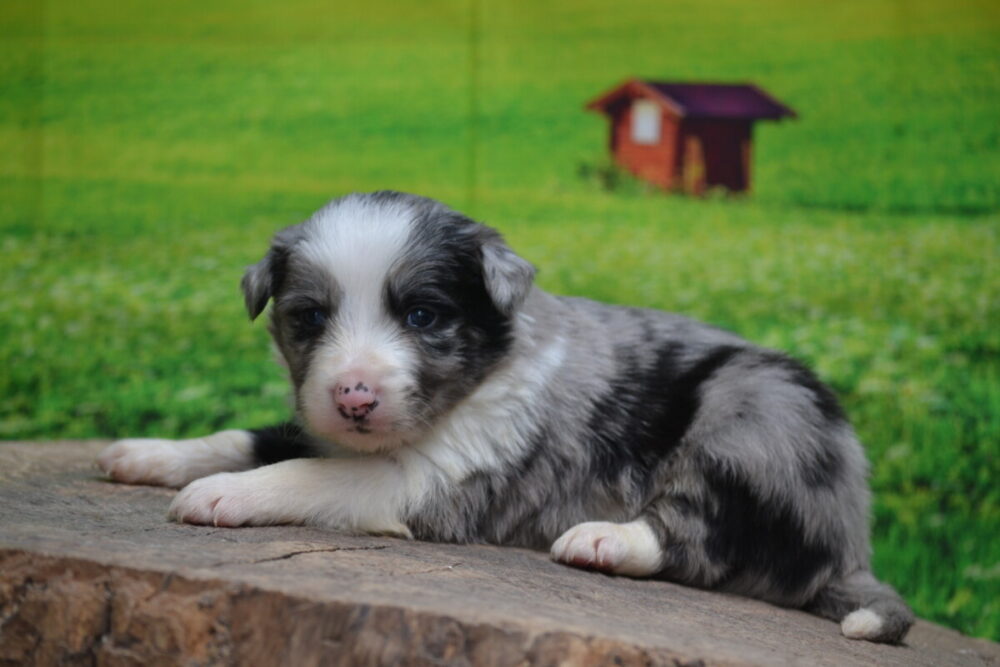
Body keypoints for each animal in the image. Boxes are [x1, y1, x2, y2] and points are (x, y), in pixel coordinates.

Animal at [98, 191, 913, 643]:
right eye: (311, 317)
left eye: (422, 315)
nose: (354, 397)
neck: (479, 377)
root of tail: (853, 541)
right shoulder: (321, 426)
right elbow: (251, 438)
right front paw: (145, 452)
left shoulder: (435, 480)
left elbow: (305, 472)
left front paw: (223, 494)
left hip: (757, 419)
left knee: (707, 540)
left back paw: (602, 539)